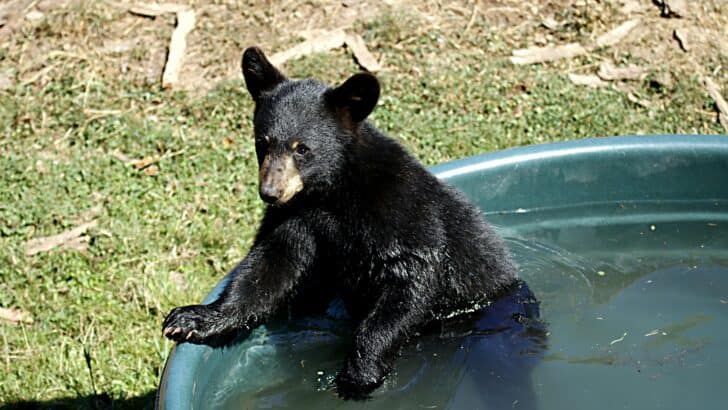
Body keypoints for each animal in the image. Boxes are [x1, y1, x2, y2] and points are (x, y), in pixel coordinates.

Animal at [162, 46, 520, 399]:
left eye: (302, 148)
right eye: (262, 142)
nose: (270, 192)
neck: (331, 193)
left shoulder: (400, 210)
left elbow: (412, 278)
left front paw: (359, 373)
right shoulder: (297, 219)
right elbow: (269, 268)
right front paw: (192, 318)